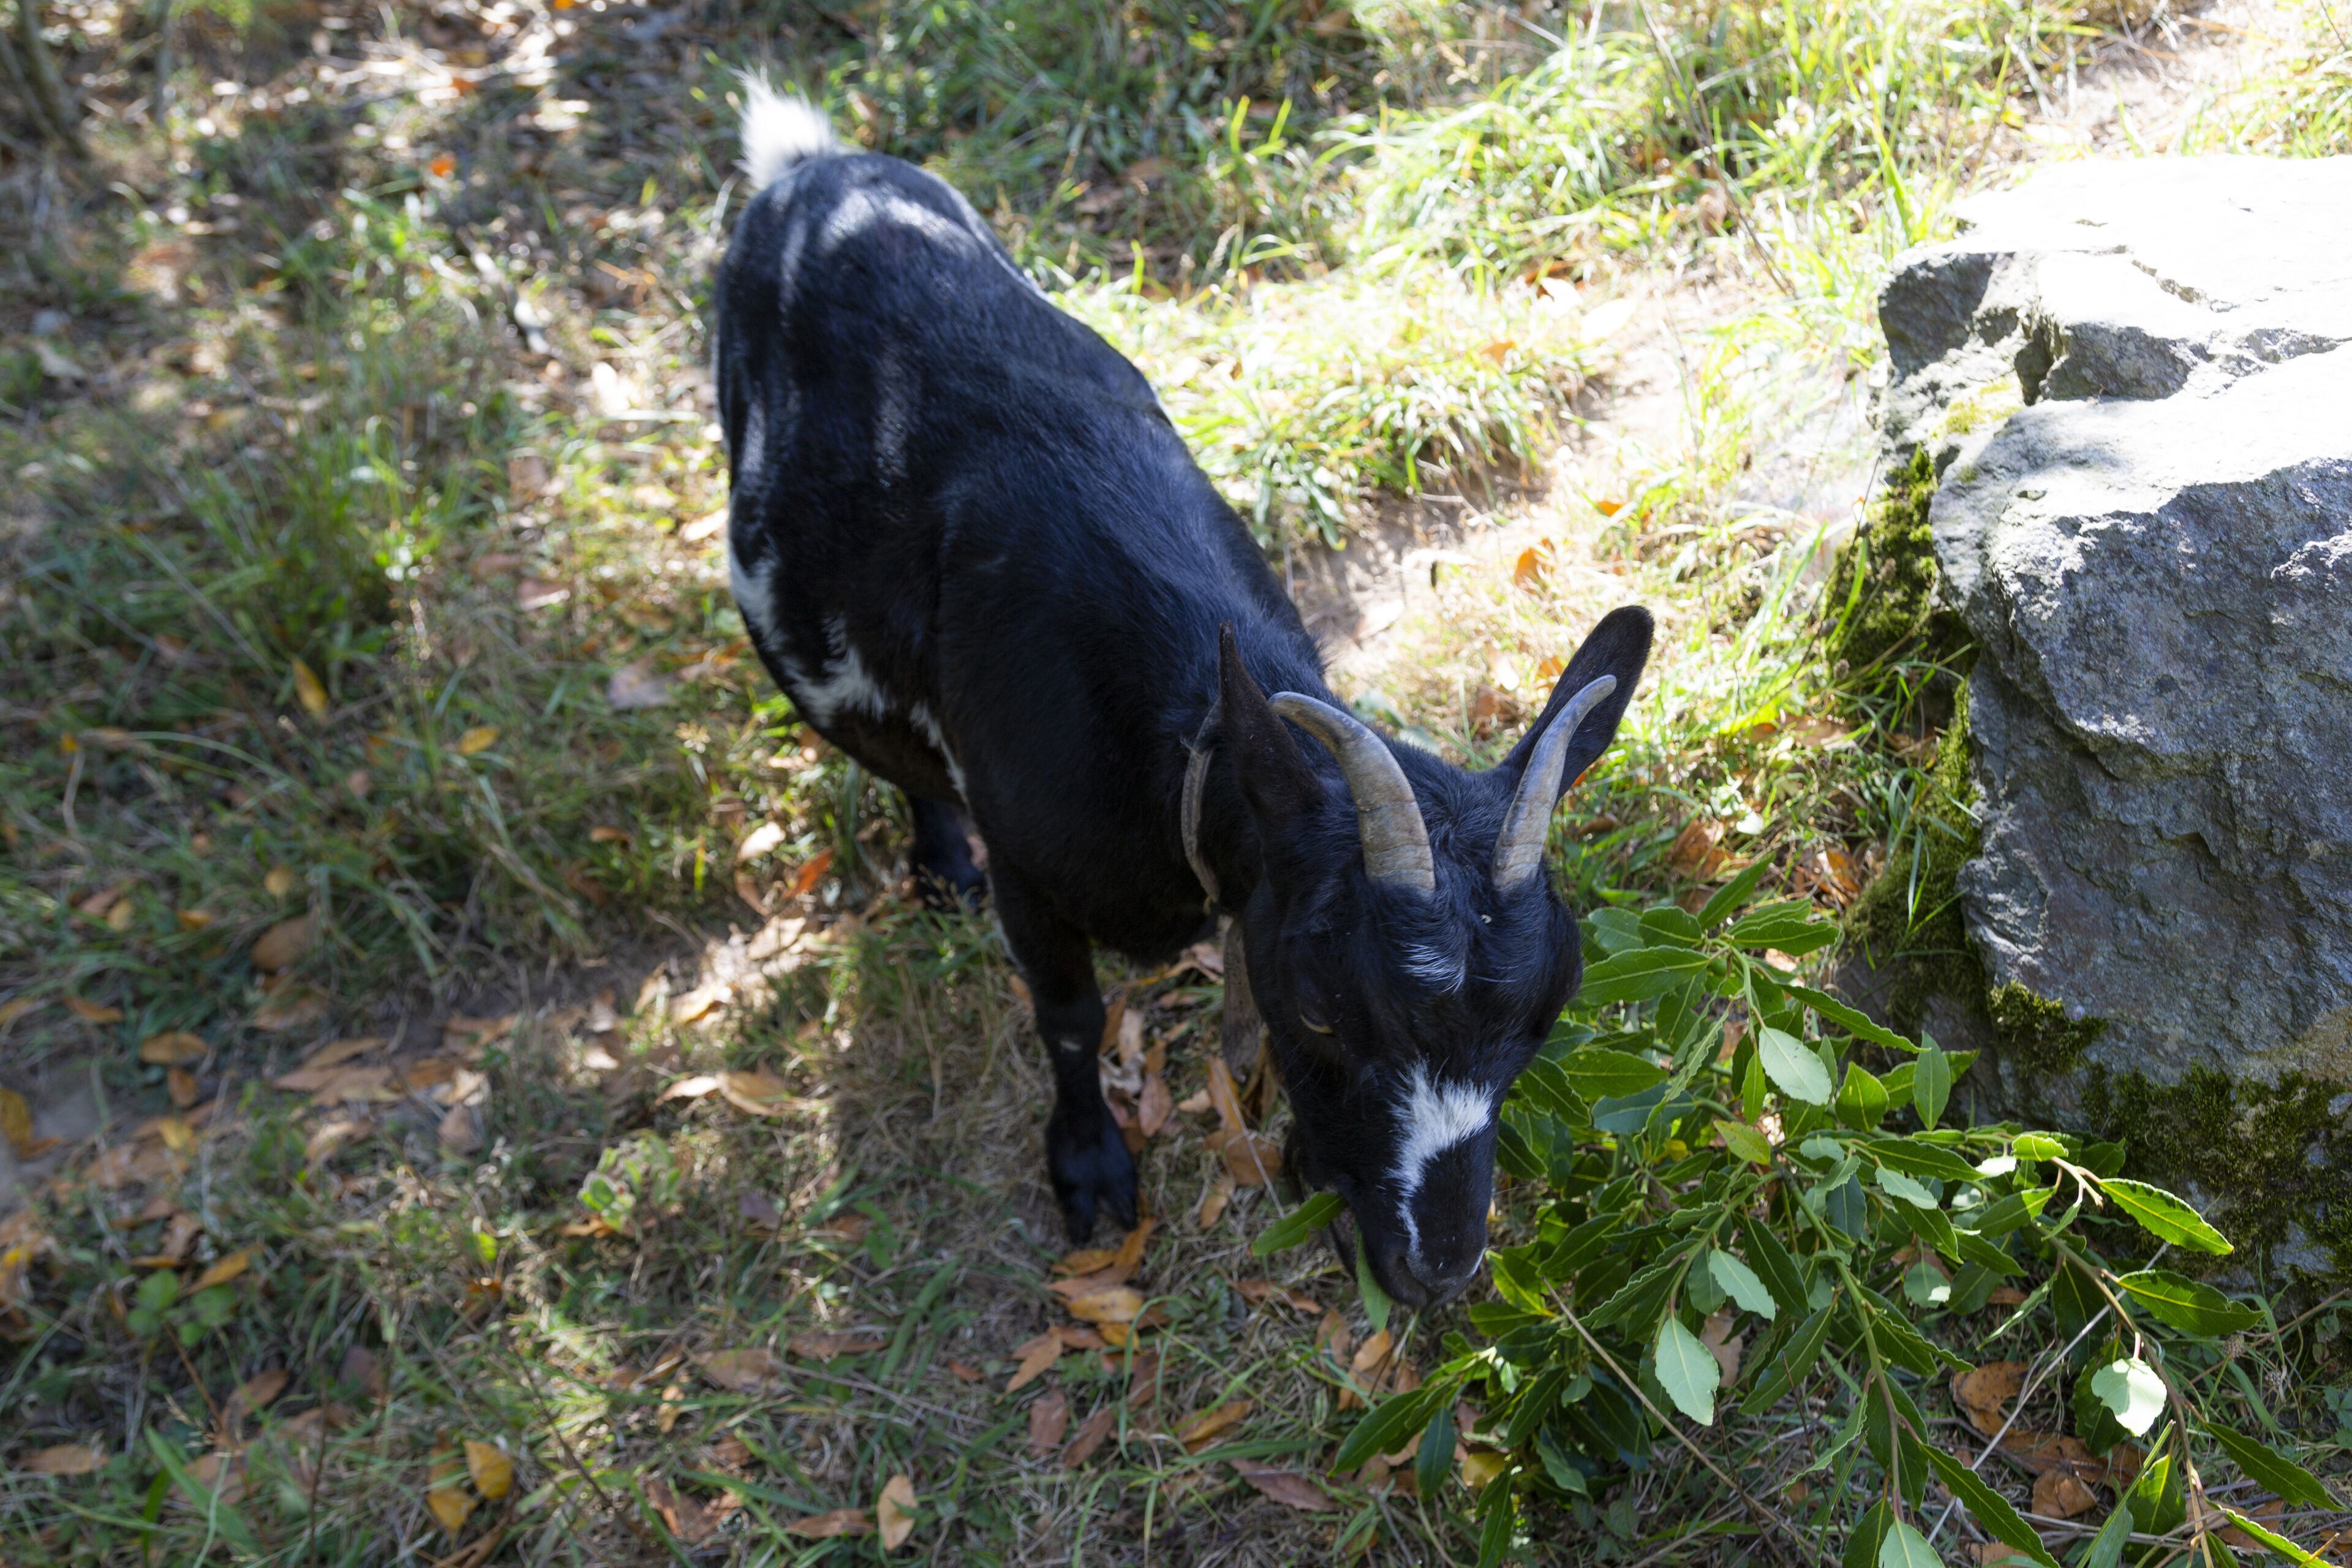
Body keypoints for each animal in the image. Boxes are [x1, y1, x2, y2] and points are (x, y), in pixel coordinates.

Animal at [714, 85, 1653, 1307]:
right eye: (1321, 1006)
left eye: (1543, 1023)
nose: (1438, 1271)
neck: (1189, 737)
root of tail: (809, 168)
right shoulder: (1029, 855)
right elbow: (1068, 1012)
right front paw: (1090, 1170)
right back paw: (937, 863)